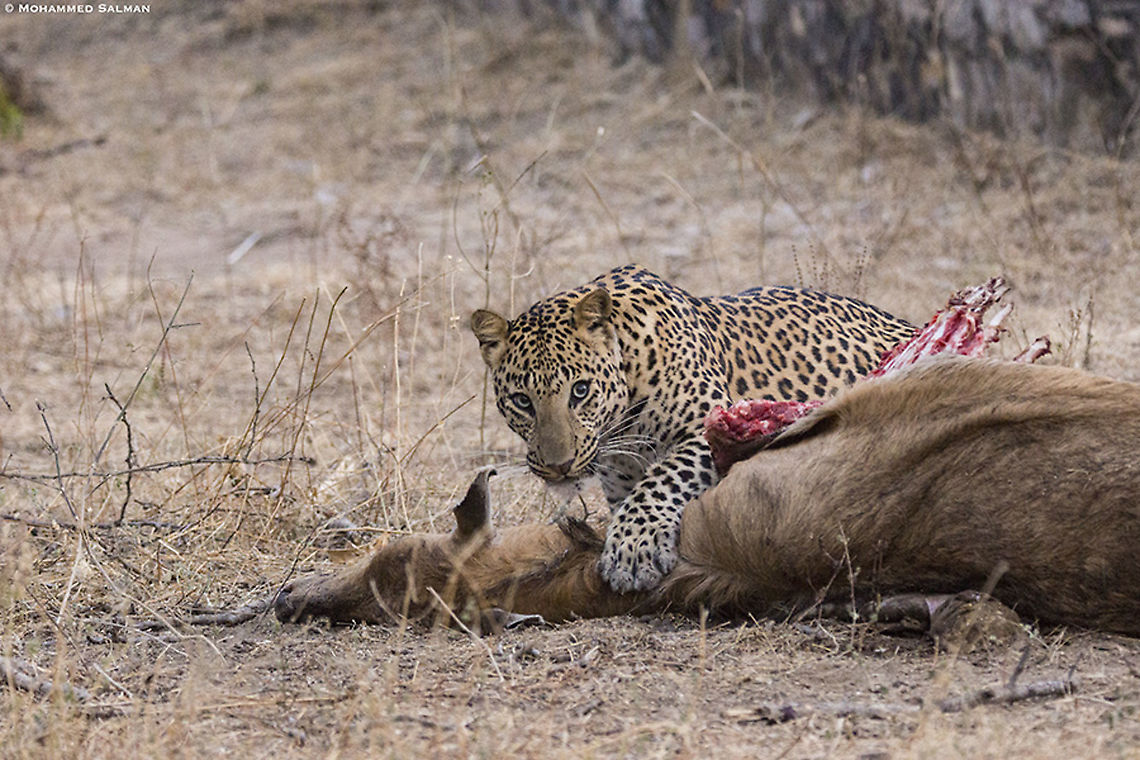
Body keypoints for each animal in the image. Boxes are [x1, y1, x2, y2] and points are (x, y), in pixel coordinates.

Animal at [470, 264, 914, 592]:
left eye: (580, 391)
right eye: (522, 401)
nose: (559, 466)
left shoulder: (712, 426)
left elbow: (663, 478)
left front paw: (632, 551)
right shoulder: (619, 482)